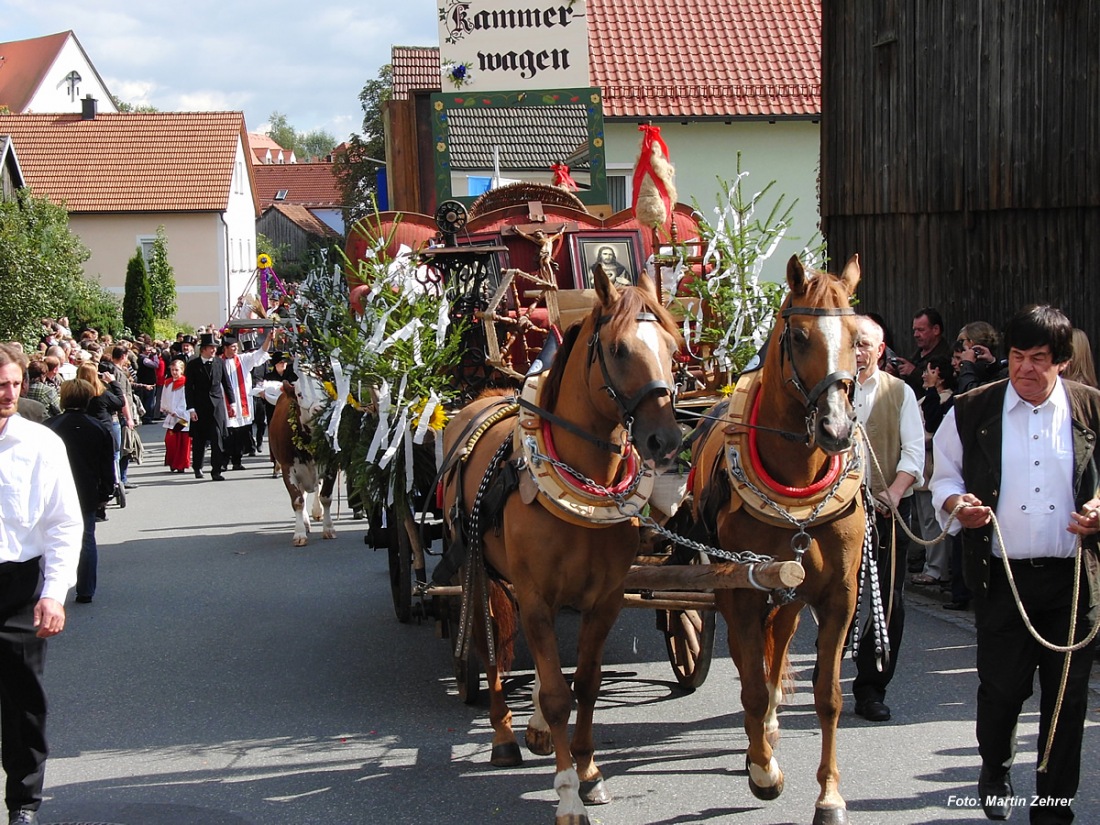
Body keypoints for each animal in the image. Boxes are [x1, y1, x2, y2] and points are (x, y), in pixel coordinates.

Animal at [442, 268, 682, 822]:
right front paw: (568, 792)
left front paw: (590, 772)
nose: (665, 440)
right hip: (477, 573)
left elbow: (586, 684)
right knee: (489, 650)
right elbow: (555, 694)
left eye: (673, 346)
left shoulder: (605, 599)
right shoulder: (535, 597)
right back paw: (504, 735)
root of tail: (483, 398)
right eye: (618, 349)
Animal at [690, 257, 862, 825]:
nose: (836, 428)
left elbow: (828, 696)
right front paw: (763, 770)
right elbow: (745, 684)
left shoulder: (838, 595)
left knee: (778, 645)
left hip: (789, 593)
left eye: (858, 337)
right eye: (801, 335)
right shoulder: (739, 590)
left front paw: (830, 795)